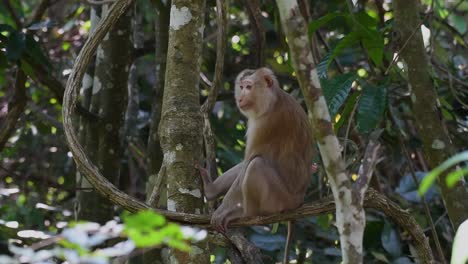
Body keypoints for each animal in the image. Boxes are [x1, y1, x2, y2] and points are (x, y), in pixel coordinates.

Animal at [198, 68, 312, 264]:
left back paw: (246, 213)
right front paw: (213, 192)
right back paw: (211, 190)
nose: (240, 98)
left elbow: (250, 159)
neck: (272, 99)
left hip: (280, 199)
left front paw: (221, 211)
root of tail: (299, 200)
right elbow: (245, 163)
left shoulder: (266, 124)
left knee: (255, 165)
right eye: (241, 87)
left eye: (249, 87)